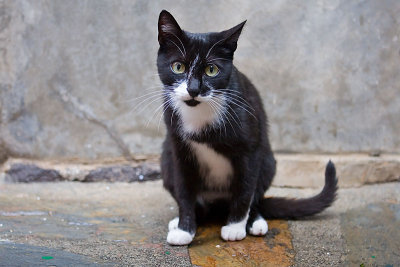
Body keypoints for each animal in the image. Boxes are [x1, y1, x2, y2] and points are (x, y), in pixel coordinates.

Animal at [156, 9, 338, 247]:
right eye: (178, 67)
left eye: (212, 70)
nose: (193, 89)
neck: (199, 114)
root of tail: (217, 206)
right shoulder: (179, 149)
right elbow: (184, 189)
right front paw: (184, 229)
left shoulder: (250, 148)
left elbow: (245, 189)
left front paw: (235, 228)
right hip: (166, 158)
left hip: (268, 160)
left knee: (256, 194)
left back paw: (255, 221)